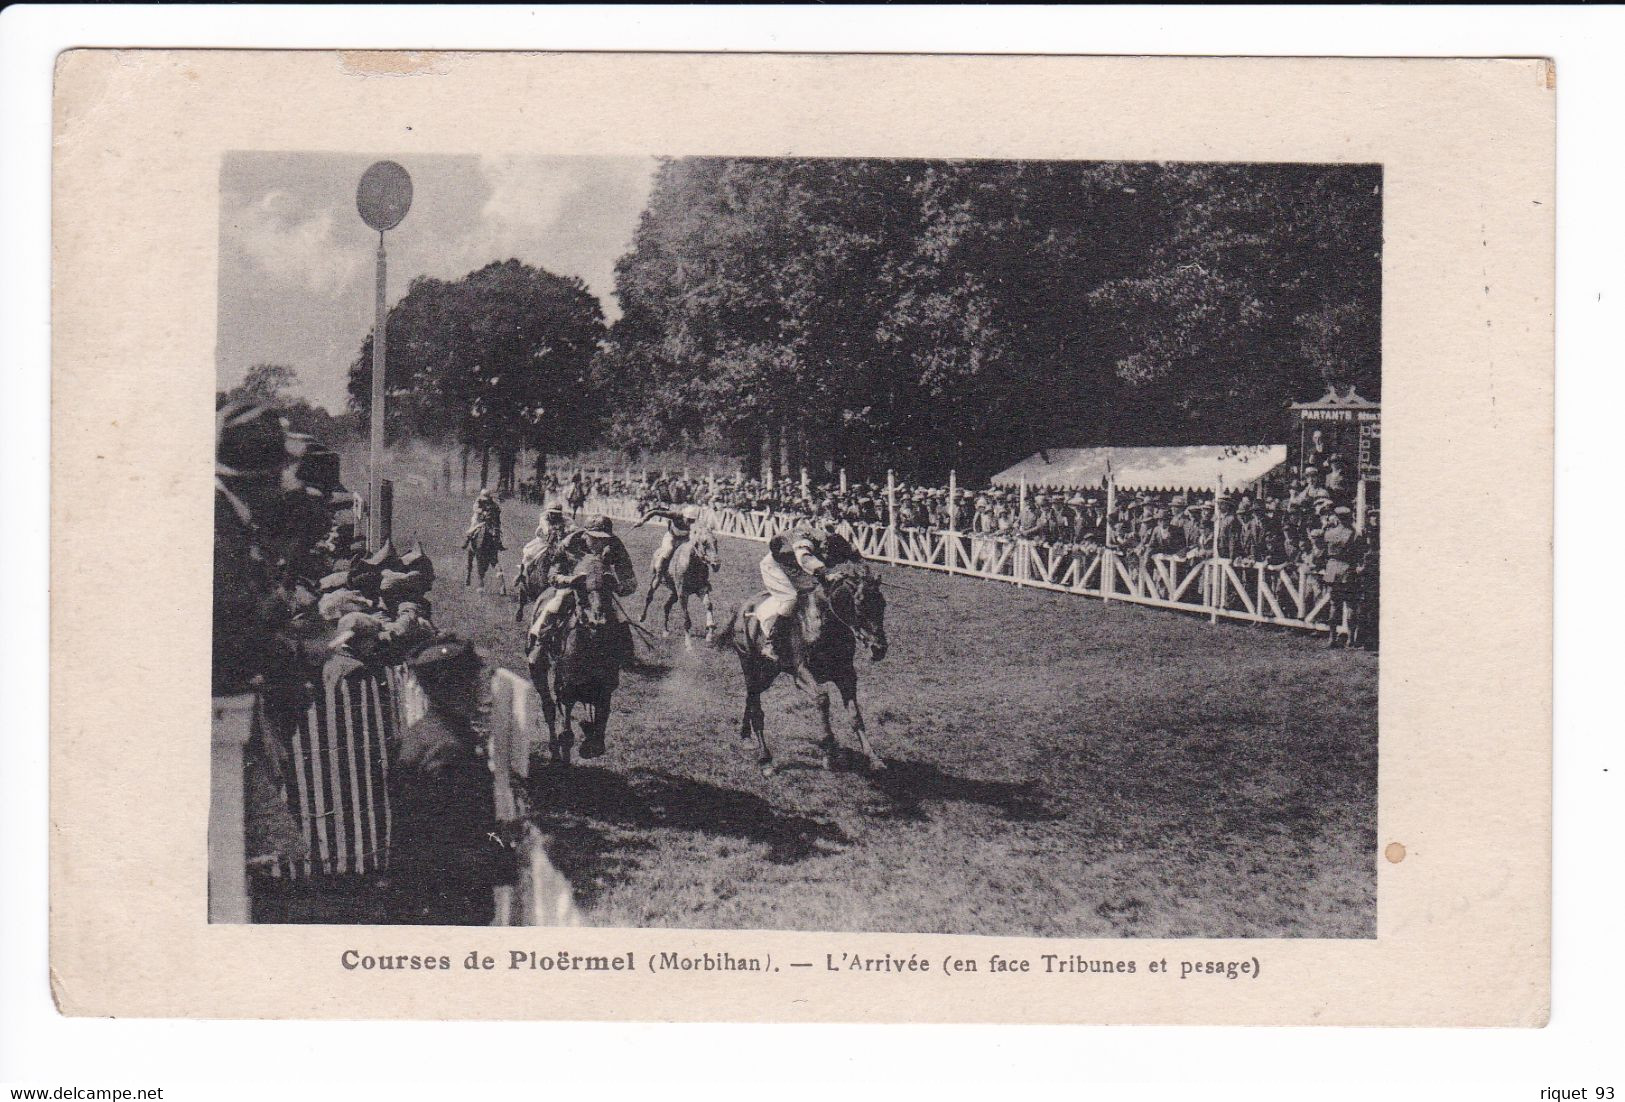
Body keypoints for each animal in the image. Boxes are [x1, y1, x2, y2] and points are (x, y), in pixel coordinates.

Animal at [715, 568, 890, 776]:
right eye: (859, 604)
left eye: (883, 604)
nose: (879, 649)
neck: (825, 622)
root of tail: (742, 609)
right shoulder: (802, 674)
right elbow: (822, 698)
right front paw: (830, 753)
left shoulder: (847, 675)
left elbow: (855, 716)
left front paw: (874, 759)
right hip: (749, 664)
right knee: (755, 704)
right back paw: (765, 758)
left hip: (769, 672)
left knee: (750, 697)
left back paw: (746, 737)